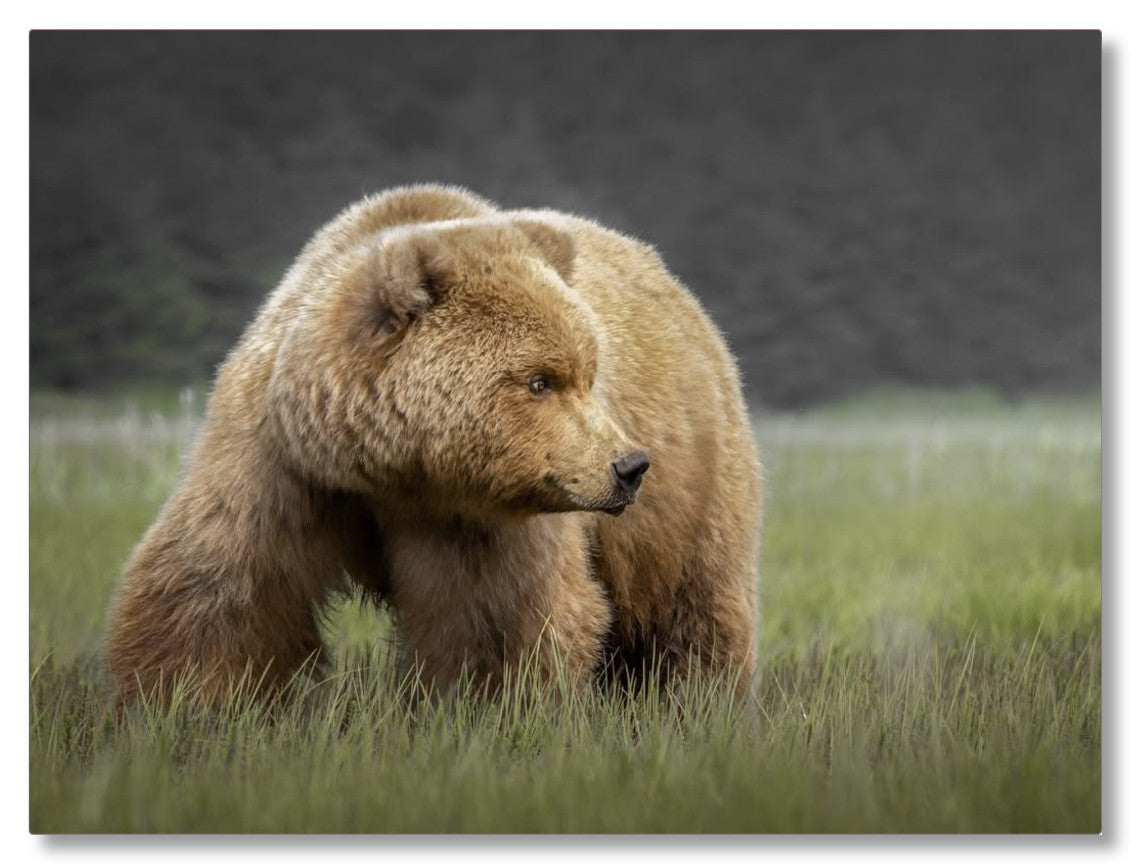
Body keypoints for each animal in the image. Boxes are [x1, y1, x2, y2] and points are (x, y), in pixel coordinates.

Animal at [102, 184, 762, 706]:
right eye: (540, 381)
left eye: (588, 375)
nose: (628, 465)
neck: (387, 468)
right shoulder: (281, 461)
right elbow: (218, 588)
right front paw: (179, 707)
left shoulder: (478, 518)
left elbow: (497, 619)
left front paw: (488, 711)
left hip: (695, 484)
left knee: (693, 605)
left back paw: (698, 701)